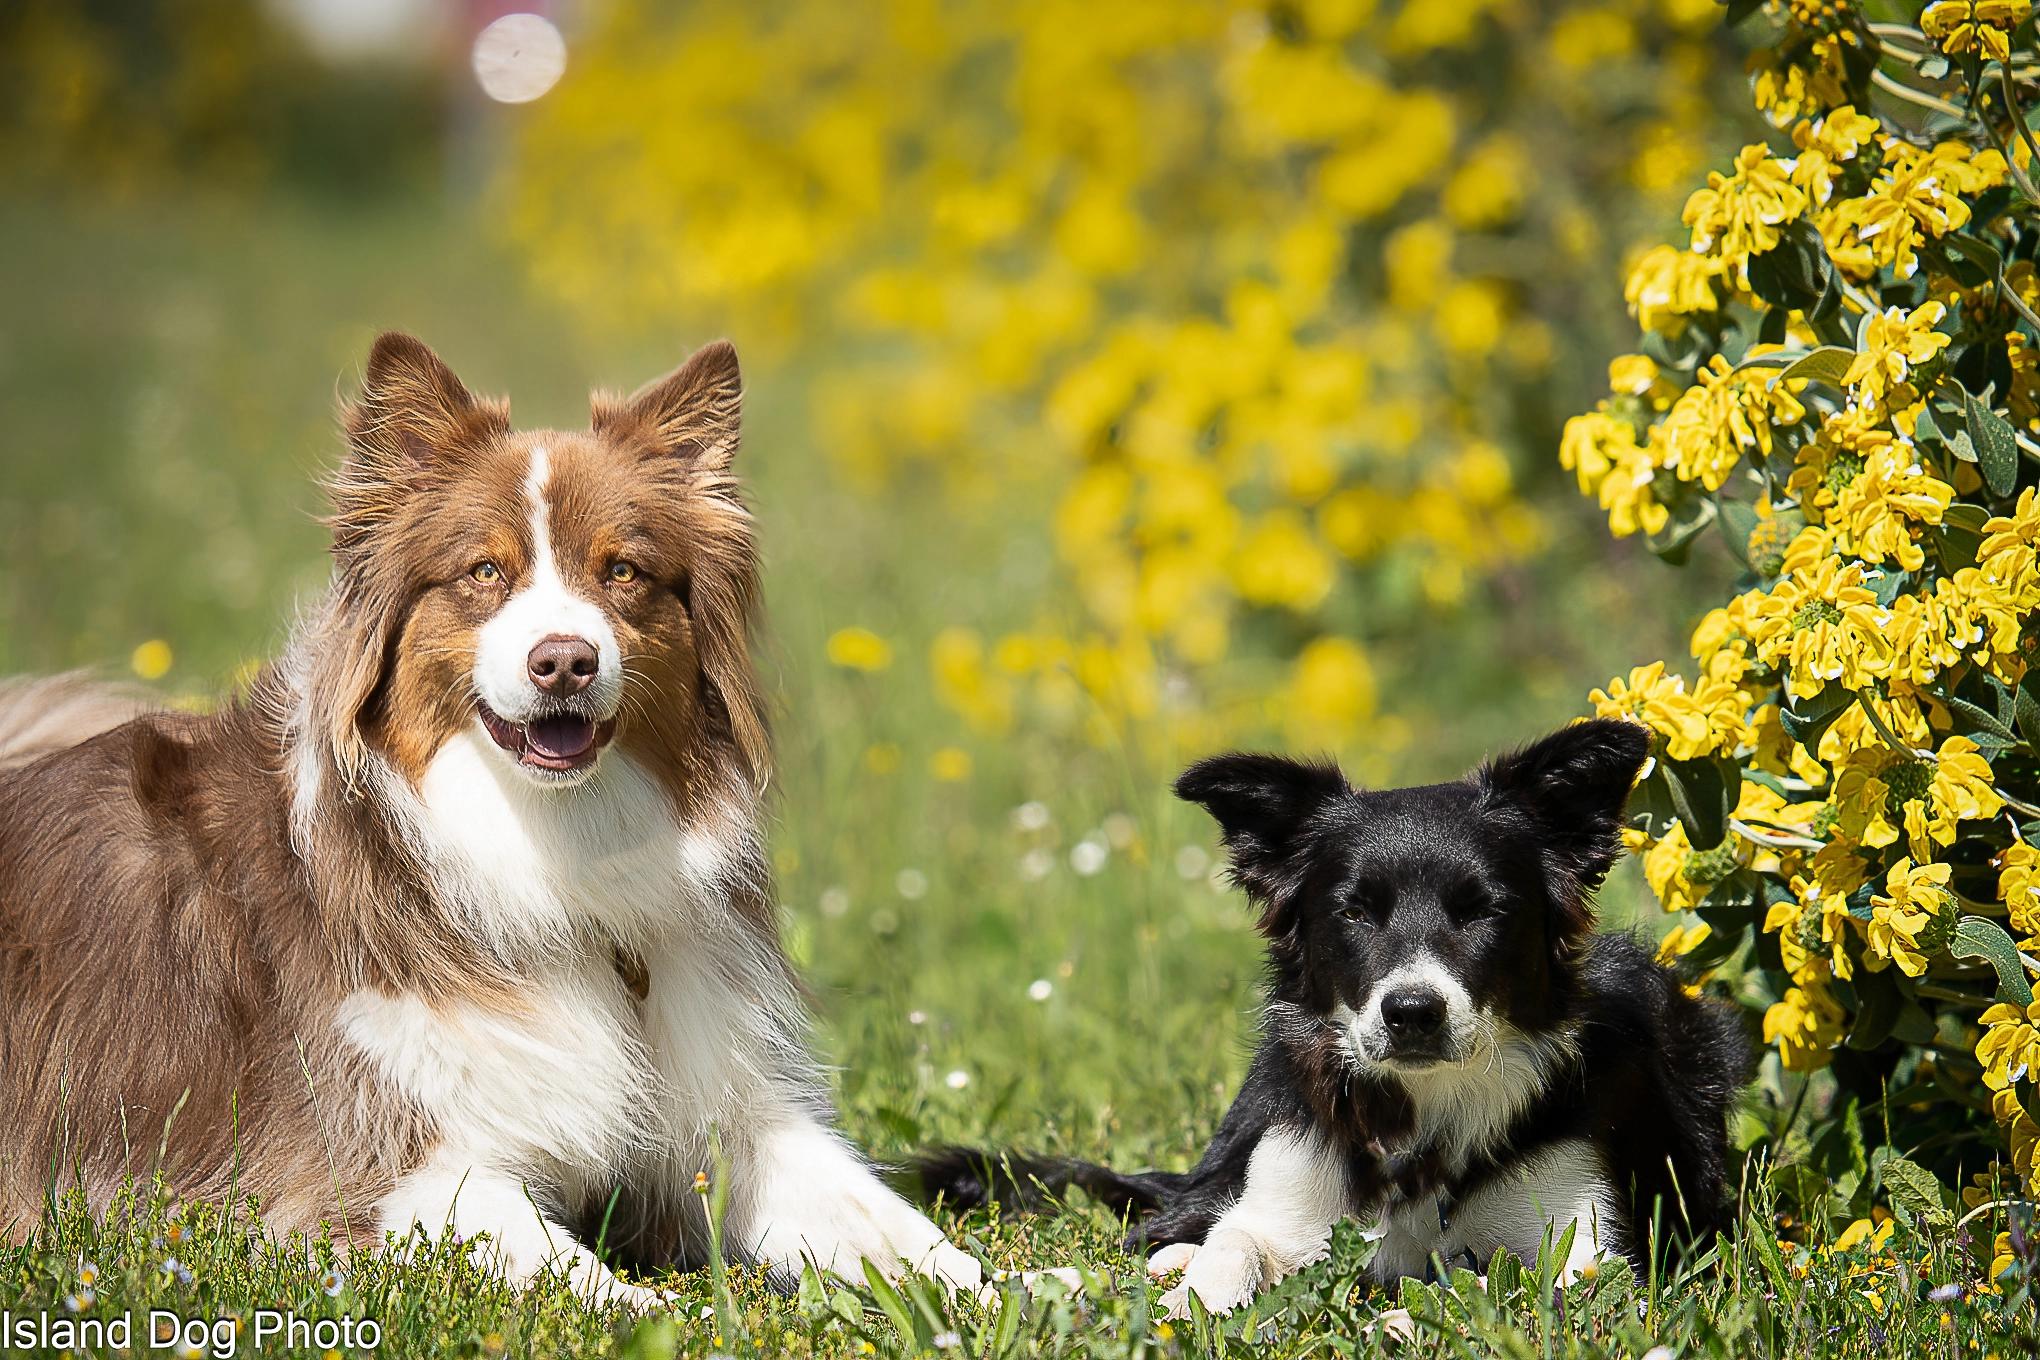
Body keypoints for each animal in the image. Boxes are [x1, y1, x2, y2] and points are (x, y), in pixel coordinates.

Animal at [0, 330, 987, 1304]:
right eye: (484, 572)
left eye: (622, 571)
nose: (565, 661)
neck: (553, 855)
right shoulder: (381, 1169)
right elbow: (592, 1283)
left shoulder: (735, 1116)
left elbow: (901, 1231)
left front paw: (1006, 1291)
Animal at [922, 721, 1738, 1321]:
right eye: (1355, 911)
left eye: (1483, 911)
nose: (1412, 1013)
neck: (1422, 1113)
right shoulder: (1289, 1183)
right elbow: (1236, 1245)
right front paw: (1188, 1304)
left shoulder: (1588, 1253)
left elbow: (1504, 1295)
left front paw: (1403, 1317)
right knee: (1177, 1217)